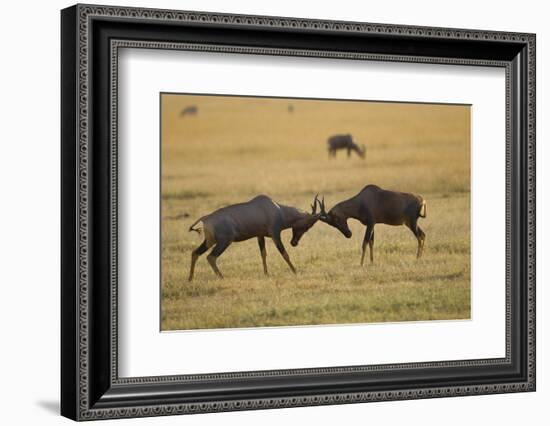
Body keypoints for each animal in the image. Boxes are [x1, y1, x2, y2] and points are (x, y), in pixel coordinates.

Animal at [188, 195, 324, 282]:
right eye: (308, 225)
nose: (294, 242)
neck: (277, 208)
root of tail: (205, 218)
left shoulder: (260, 235)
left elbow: (263, 254)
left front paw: (266, 274)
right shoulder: (275, 234)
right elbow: (284, 254)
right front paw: (295, 271)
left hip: (209, 241)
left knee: (195, 253)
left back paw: (190, 279)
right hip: (224, 242)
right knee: (211, 257)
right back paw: (222, 277)